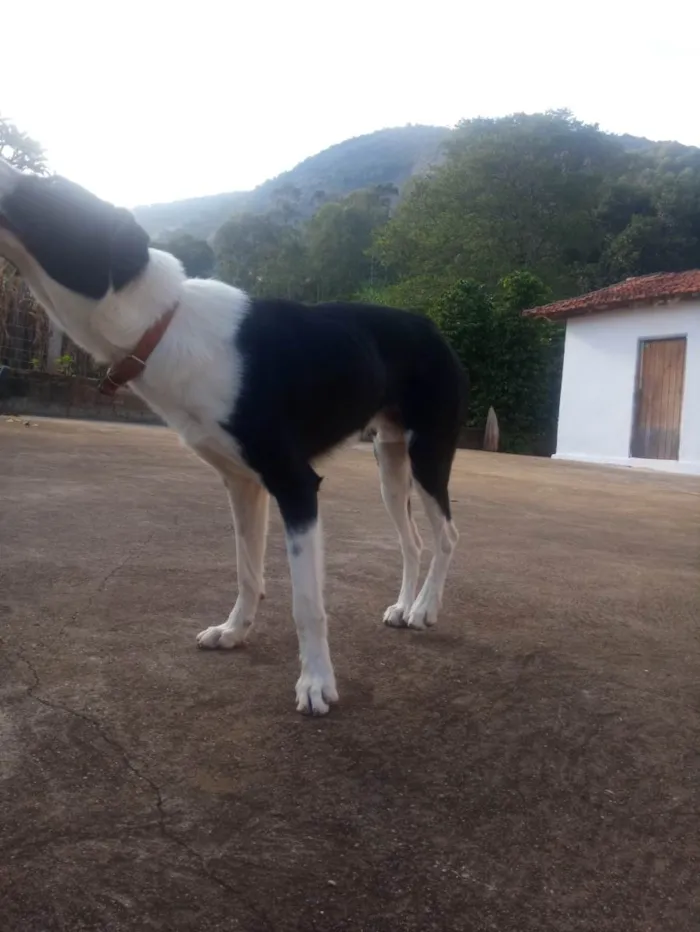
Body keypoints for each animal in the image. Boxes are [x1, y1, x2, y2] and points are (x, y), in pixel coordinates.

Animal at [1, 158, 470, 712]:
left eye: (47, 188)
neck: (163, 325)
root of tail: (431, 325)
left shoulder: (295, 484)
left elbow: (306, 603)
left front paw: (316, 682)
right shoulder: (243, 484)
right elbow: (248, 571)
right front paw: (234, 632)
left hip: (427, 455)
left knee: (445, 536)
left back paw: (424, 609)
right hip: (390, 466)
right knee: (412, 541)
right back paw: (402, 606)